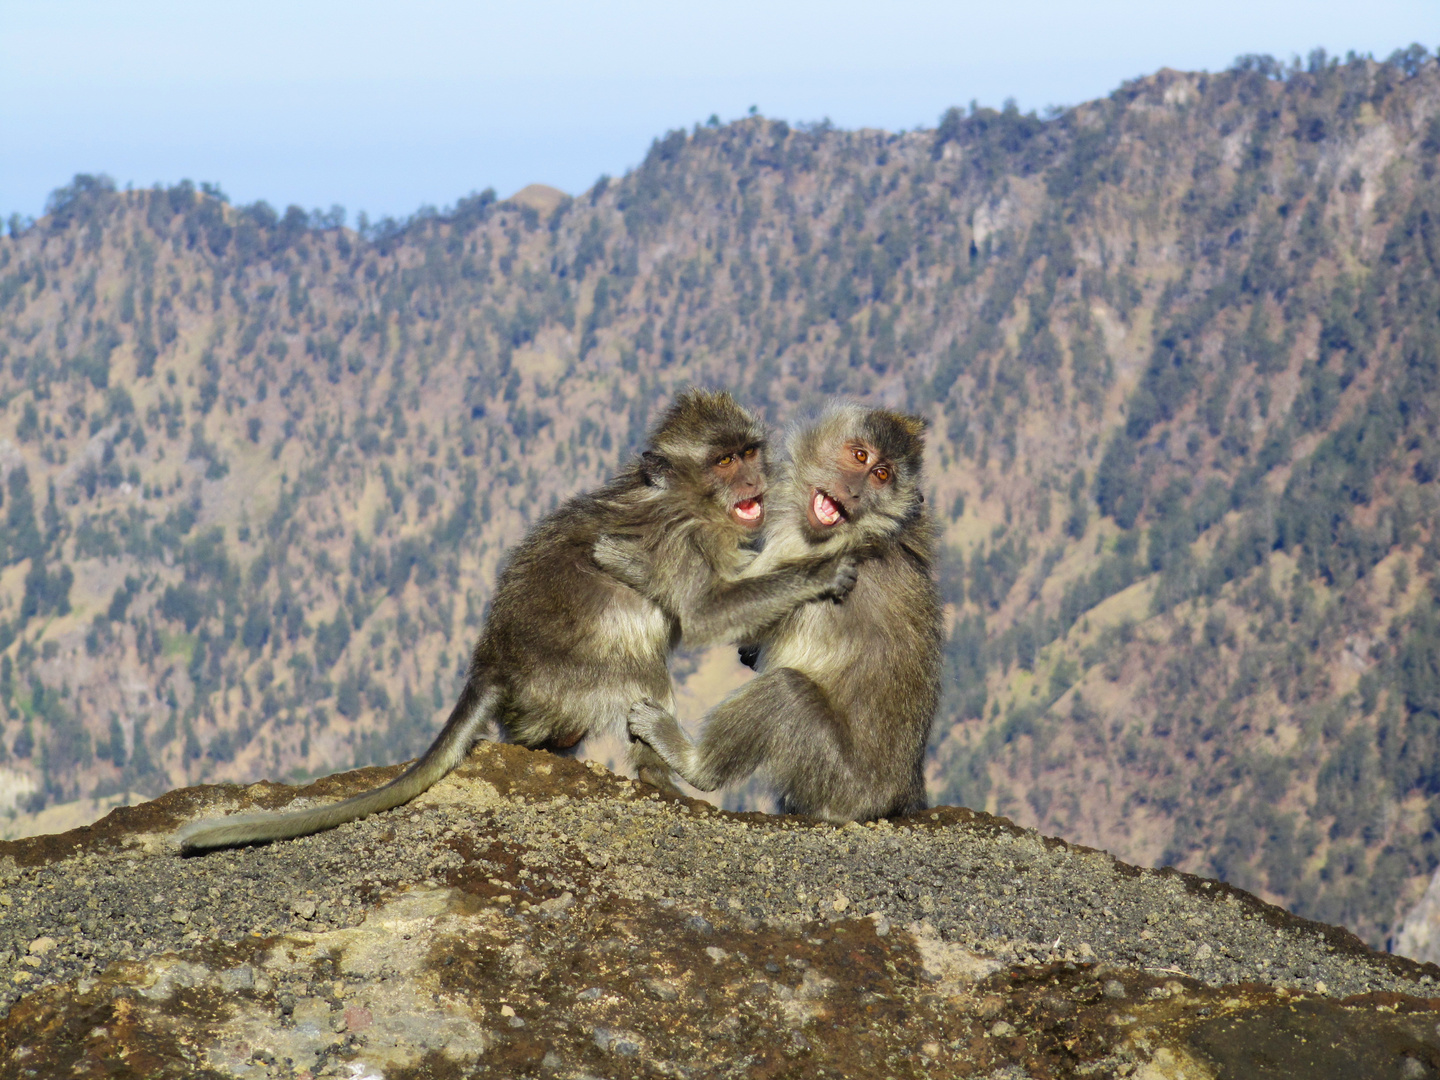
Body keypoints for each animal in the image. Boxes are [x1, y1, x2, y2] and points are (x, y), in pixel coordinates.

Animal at [178, 388, 852, 852]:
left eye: (749, 452)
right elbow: (705, 614)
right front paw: (823, 571)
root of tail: (492, 661)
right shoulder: (680, 540)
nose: (755, 477)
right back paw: (662, 775)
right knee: (641, 668)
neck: (682, 498)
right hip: (574, 678)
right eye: (724, 461)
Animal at [619, 403, 944, 817]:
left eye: (882, 475)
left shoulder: (807, 554)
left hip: (834, 781)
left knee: (786, 692)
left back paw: (693, 762)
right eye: (861, 456)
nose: (854, 491)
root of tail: (896, 798)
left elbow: (715, 616)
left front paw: (639, 565)